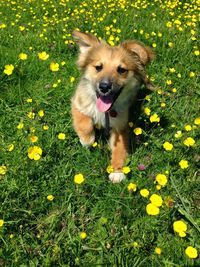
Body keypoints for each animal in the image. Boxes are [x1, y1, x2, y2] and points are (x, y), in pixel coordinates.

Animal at [71, 30, 154, 183]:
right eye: (98, 67)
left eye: (121, 70)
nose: (104, 87)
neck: (104, 112)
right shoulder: (77, 103)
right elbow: (84, 122)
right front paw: (87, 140)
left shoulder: (121, 125)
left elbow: (120, 148)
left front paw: (117, 171)